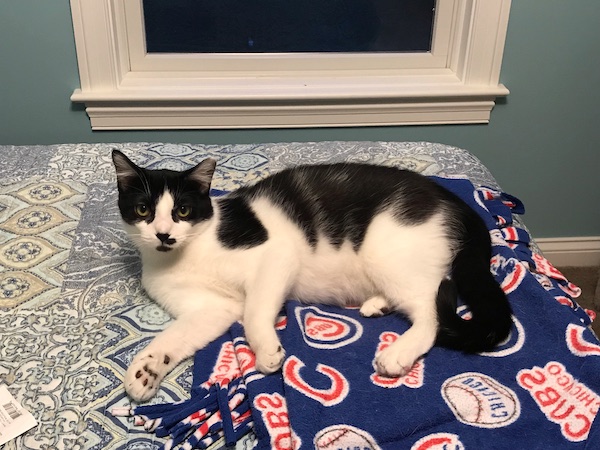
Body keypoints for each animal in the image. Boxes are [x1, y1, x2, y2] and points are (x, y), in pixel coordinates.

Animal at [112, 149, 510, 402]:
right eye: (144, 210)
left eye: (182, 210)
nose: (164, 234)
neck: (187, 254)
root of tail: (455, 201)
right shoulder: (211, 308)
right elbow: (174, 337)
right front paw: (145, 370)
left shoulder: (276, 254)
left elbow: (254, 310)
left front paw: (266, 350)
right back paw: (377, 304)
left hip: (388, 250)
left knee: (431, 310)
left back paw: (399, 352)